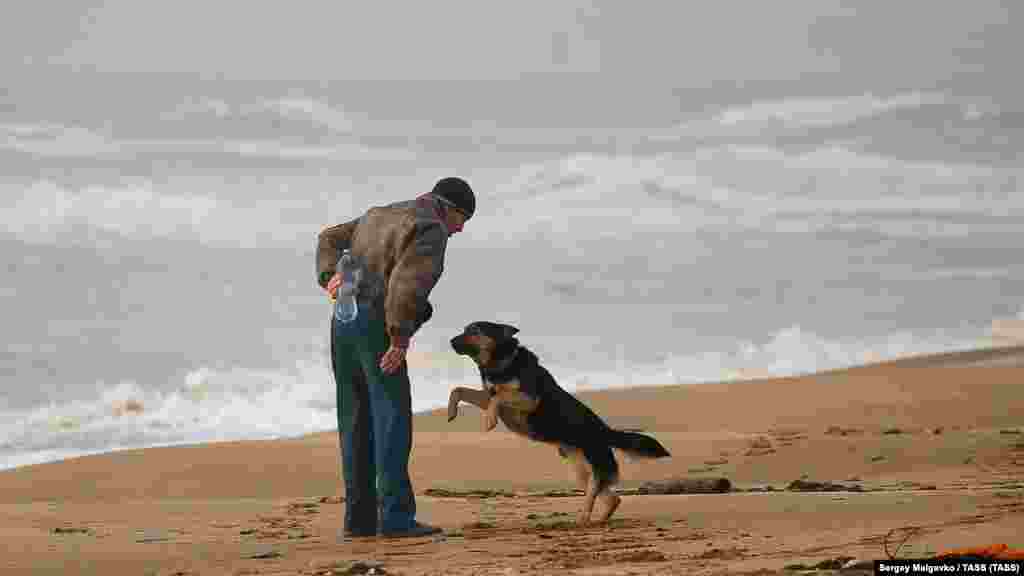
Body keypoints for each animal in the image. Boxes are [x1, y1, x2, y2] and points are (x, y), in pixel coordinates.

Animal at [448, 319, 671, 522]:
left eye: (475, 331)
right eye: (465, 329)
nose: (450, 341)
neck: (501, 361)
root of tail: (606, 431)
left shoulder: (530, 399)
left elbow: (499, 397)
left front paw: (489, 420)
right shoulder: (488, 397)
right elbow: (459, 389)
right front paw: (451, 412)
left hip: (594, 462)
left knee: (595, 492)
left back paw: (584, 518)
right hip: (580, 470)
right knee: (611, 498)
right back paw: (598, 520)